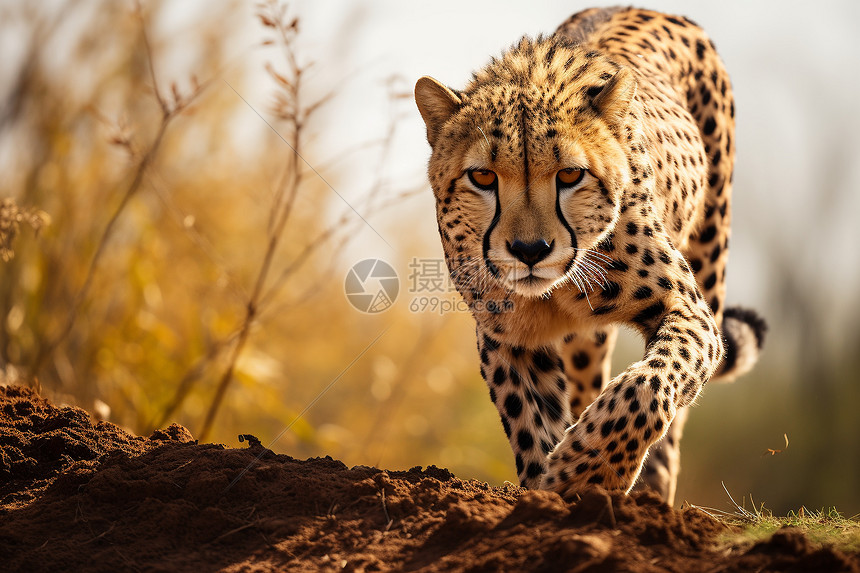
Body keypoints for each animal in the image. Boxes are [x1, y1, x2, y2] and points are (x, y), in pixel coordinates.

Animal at [414, 6, 764, 502]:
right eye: (482, 177)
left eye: (570, 175)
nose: (529, 250)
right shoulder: (508, 336)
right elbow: (530, 419)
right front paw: (547, 492)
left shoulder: (687, 308)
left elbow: (650, 384)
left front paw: (588, 472)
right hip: (587, 342)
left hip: (712, 253)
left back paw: (653, 497)